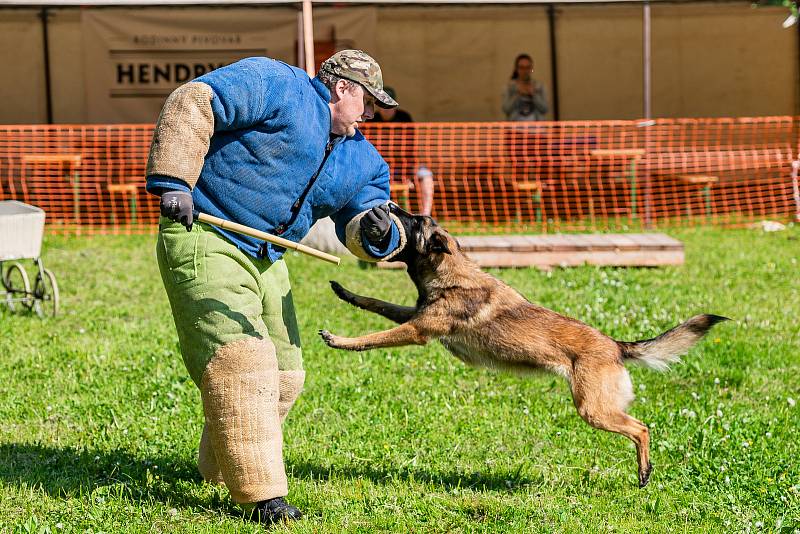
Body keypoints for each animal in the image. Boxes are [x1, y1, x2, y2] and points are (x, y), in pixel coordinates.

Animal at [318, 206, 724, 490]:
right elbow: (375, 302)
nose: (388, 205)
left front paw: (341, 341)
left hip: (593, 409)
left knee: (641, 428)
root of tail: (615, 346)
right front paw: (345, 293)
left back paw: (644, 472)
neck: (451, 275)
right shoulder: (415, 315)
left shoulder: (417, 329)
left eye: (415, 221)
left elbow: (374, 337)